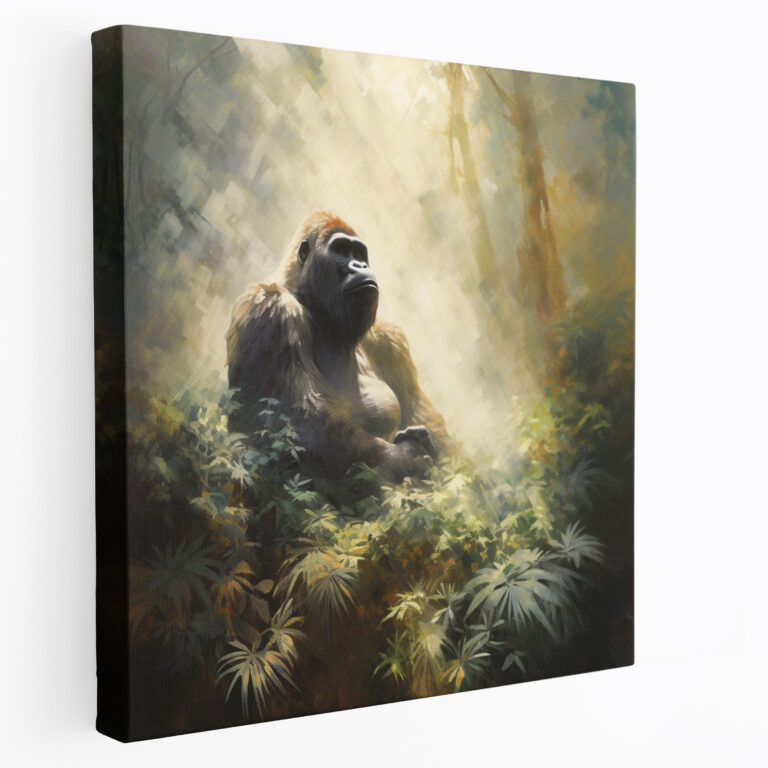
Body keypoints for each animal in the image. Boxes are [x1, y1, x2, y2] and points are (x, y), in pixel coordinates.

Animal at [226, 211, 448, 481]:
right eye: (341, 250)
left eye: (359, 254)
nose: (361, 266)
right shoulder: (272, 307)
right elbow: (298, 426)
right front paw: (410, 456)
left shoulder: (390, 340)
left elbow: (421, 412)